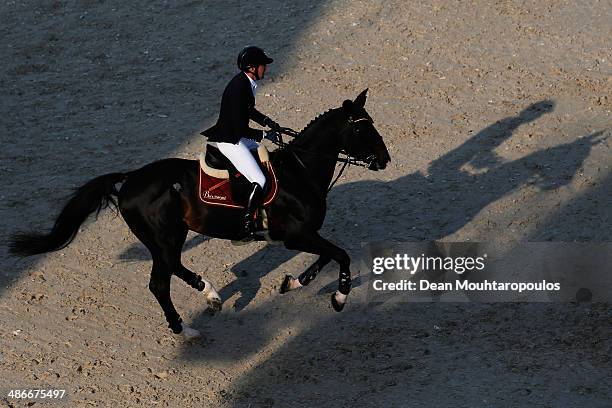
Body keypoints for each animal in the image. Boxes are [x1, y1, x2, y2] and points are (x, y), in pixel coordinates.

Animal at [9, 89, 390, 338]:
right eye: (361, 128)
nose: (385, 160)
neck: (301, 171)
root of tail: (130, 178)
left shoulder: (302, 236)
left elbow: (325, 258)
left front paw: (292, 282)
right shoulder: (296, 236)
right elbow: (340, 255)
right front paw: (339, 298)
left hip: (168, 236)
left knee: (172, 268)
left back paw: (210, 296)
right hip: (165, 236)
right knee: (159, 282)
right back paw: (186, 327)